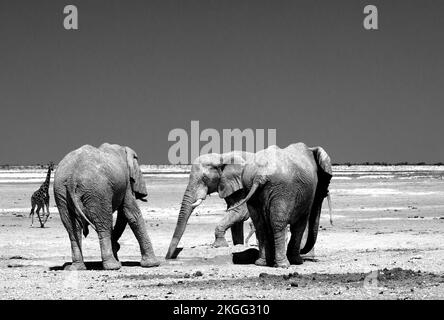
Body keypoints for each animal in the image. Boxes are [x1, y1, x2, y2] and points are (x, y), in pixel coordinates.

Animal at [54, 142, 160, 270]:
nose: (143, 195)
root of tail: (71, 177)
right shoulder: (126, 183)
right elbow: (131, 213)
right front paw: (153, 264)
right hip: (97, 190)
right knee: (103, 223)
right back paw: (113, 266)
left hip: (62, 192)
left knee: (72, 229)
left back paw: (76, 267)